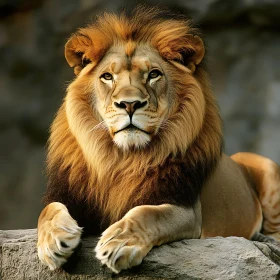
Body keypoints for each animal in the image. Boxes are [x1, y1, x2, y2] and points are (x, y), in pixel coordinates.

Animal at [36, 6, 280, 274]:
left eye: (153, 74)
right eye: (107, 76)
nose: (129, 104)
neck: (122, 158)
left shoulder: (186, 209)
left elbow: (147, 214)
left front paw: (119, 243)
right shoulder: (68, 194)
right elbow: (47, 211)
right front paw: (55, 240)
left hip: (265, 164)